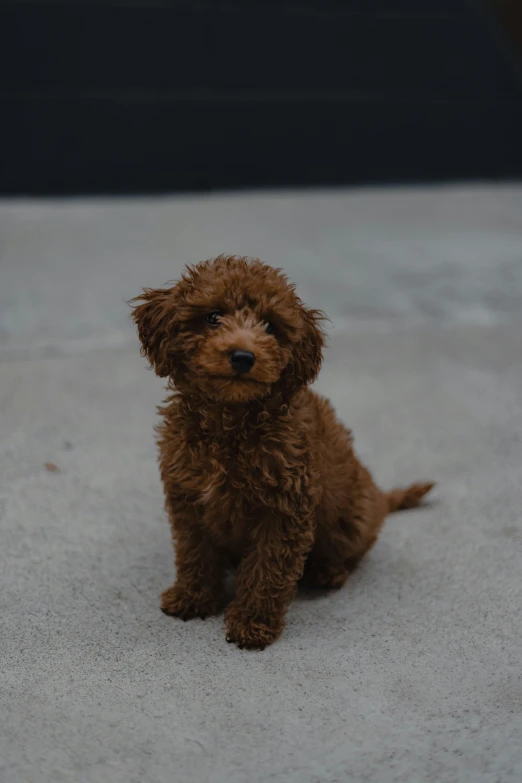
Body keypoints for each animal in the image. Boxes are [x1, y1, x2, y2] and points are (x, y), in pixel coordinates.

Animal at [131, 256, 430, 648]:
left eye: (270, 326)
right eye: (213, 316)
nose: (243, 356)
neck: (229, 422)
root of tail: (380, 498)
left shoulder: (284, 507)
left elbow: (268, 568)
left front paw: (252, 623)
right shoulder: (188, 497)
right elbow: (194, 551)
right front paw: (193, 597)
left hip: (351, 519)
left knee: (351, 552)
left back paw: (326, 572)